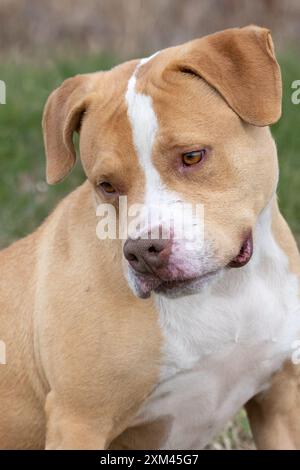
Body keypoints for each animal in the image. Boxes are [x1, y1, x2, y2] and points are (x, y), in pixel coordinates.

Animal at [0, 24, 300, 448]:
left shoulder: (279, 401)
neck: (225, 291)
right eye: (106, 185)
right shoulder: (79, 419)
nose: (143, 251)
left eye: (192, 156)